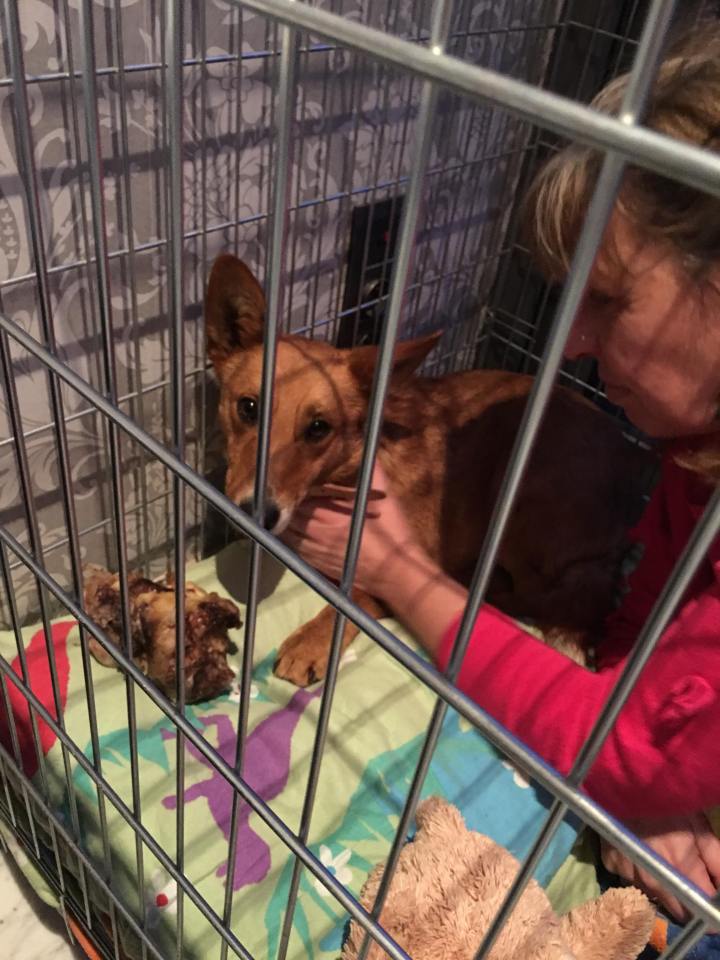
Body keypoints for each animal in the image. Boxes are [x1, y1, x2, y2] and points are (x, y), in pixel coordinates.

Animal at [206, 253, 653, 686]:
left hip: (517, 487)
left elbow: (351, 602)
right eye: (248, 407)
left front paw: (310, 642)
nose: (254, 514)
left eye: (318, 428)